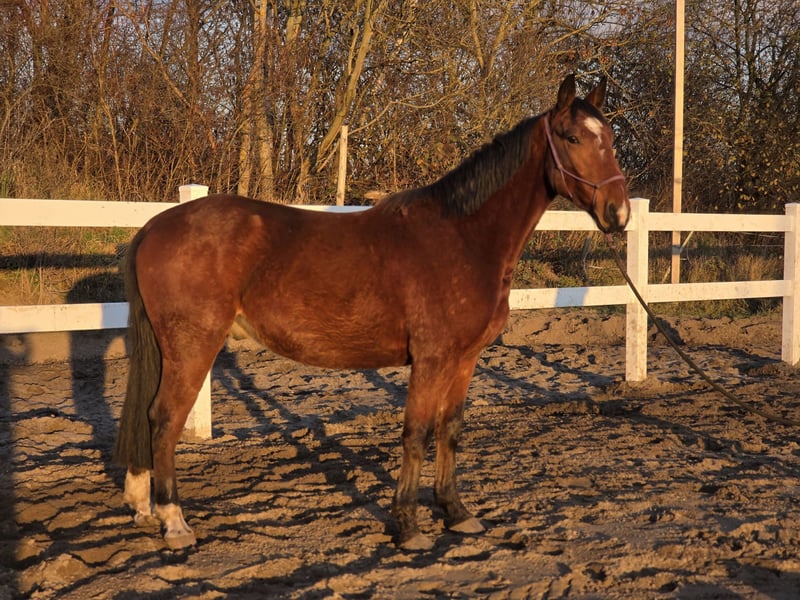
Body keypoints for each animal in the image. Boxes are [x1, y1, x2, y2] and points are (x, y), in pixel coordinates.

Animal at [114, 74, 630, 551]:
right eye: (571, 137)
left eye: (609, 137)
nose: (618, 213)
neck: (463, 236)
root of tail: (155, 226)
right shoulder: (431, 359)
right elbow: (415, 433)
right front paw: (409, 526)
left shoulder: (464, 360)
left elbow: (450, 430)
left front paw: (456, 513)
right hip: (192, 346)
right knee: (164, 419)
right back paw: (175, 524)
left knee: (148, 416)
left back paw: (143, 506)